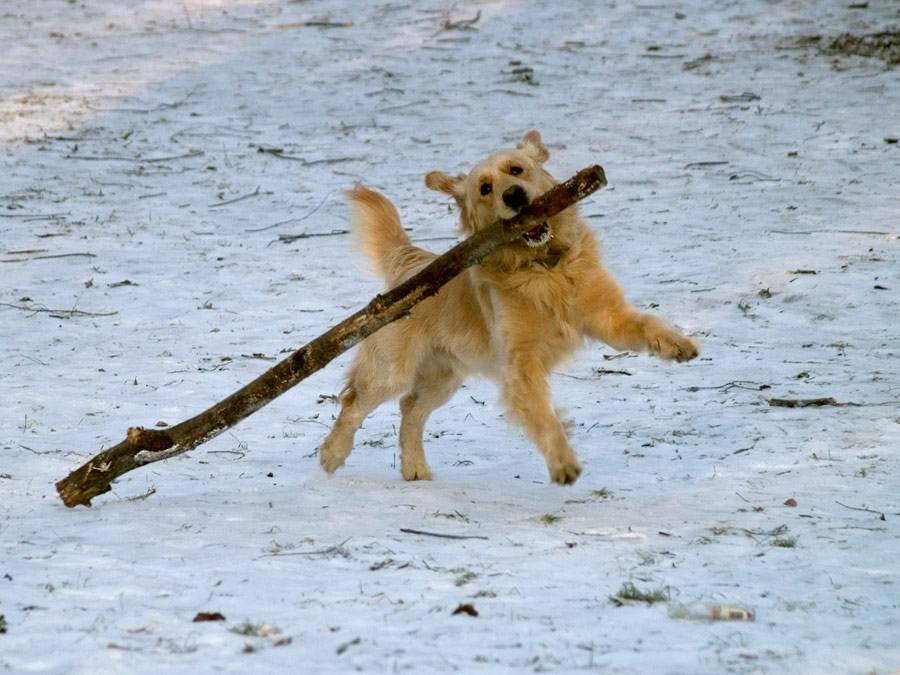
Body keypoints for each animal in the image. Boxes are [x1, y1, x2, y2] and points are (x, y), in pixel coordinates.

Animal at [320, 129, 700, 484]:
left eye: (517, 170)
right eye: (485, 188)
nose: (513, 195)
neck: (544, 267)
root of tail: (412, 263)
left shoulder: (607, 316)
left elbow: (647, 323)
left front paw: (677, 343)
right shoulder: (521, 360)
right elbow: (543, 415)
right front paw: (562, 461)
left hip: (444, 375)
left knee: (410, 408)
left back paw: (415, 468)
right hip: (391, 370)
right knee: (354, 403)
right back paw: (332, 454)